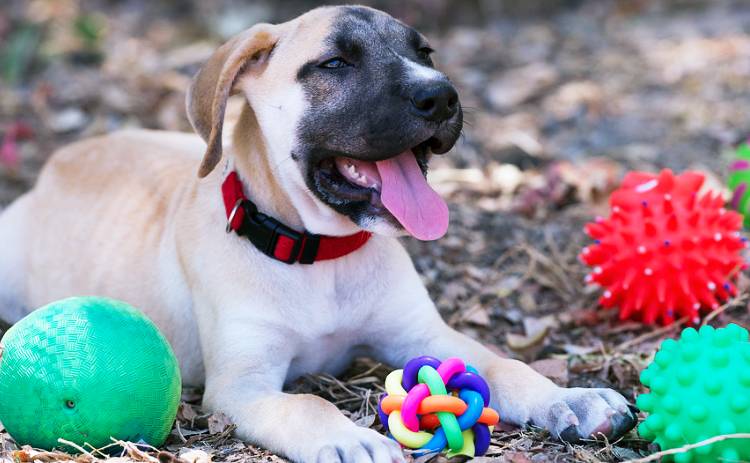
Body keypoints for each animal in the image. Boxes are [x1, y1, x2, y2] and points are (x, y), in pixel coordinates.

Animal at [0, 4, 636, 463]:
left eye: (424, 52)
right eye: (334, 64)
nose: (443, 94)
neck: (320, 254)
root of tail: (61, 161)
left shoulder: (425, 334)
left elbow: (506, 367)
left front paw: (570, 398)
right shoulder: (241, 388)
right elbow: (304, 404)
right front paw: (352, 438)